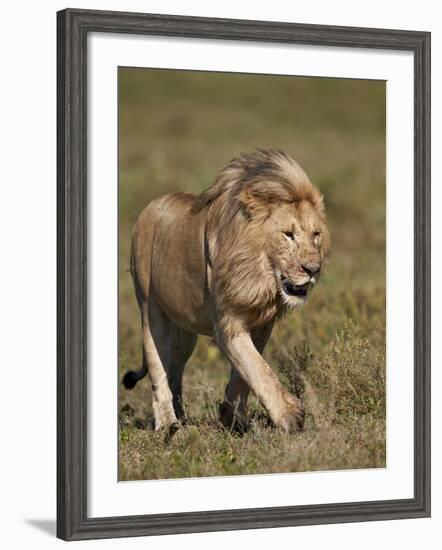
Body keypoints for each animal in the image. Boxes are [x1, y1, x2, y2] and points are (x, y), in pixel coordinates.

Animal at [122, 150, 330, 436]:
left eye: (316, 235)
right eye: (288, 235)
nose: (313, 269)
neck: (260, 276)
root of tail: (150, 207)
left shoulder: (262, 325)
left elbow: (245, 372)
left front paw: (233, 418)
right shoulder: (228, 323)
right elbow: (258, 368)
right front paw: (290, 417)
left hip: (185, 333)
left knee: (175, 366)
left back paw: (181, 415)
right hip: (151, 310)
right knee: (158, 367)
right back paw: (168, 425)